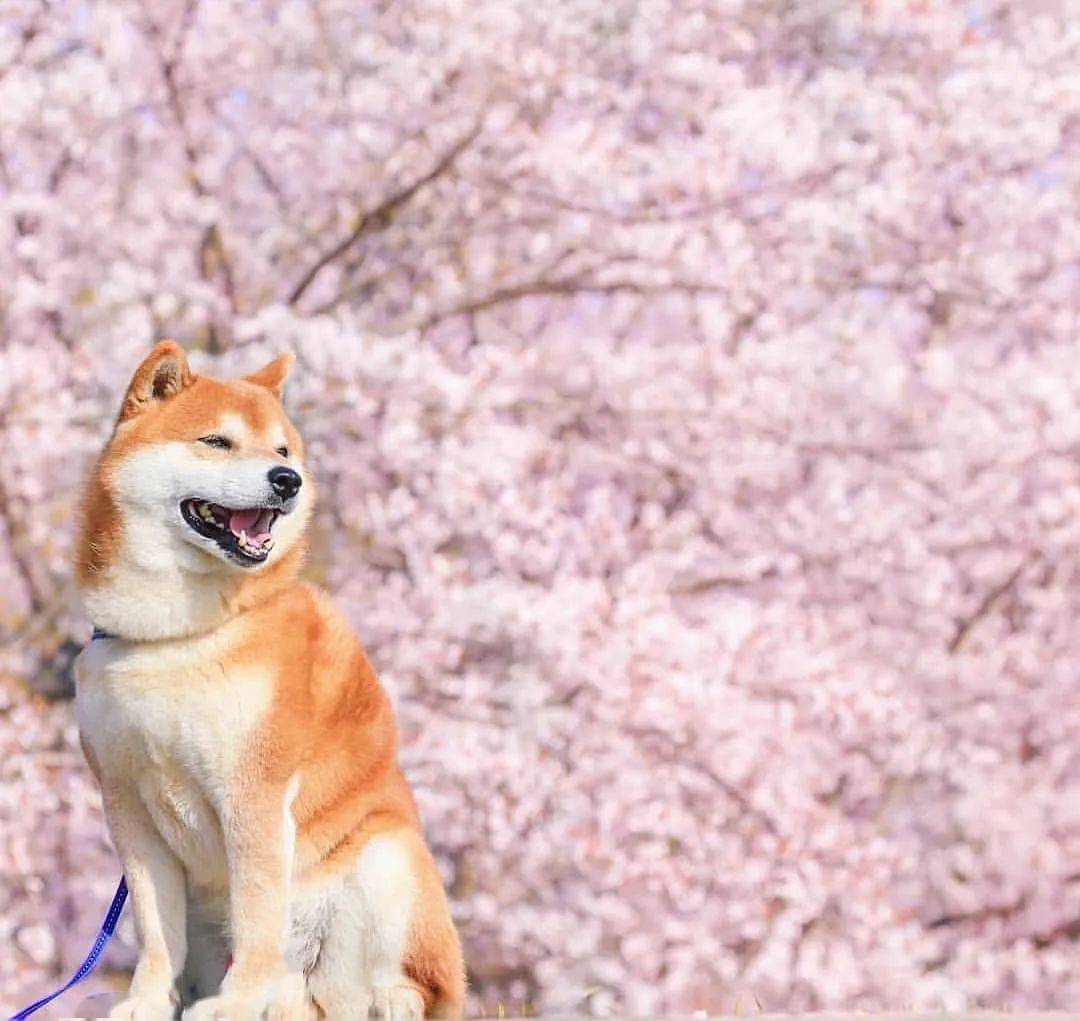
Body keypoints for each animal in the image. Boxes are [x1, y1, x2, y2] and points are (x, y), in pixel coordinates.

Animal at [73, 343, 462, 1019]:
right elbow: (154, 931)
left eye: (283, 450)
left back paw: (385, 1001)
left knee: (412, 986)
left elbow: (255, 918)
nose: (288, 480)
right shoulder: (127, 806)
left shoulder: (252, 792)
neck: (177, 635)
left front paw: (232, 1005)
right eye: (216, 441)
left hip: (387, 859)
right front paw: (145, 1003)